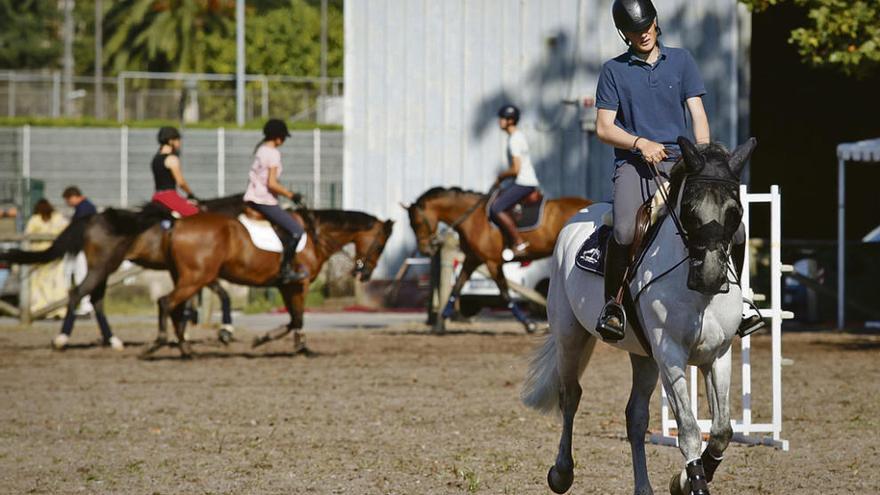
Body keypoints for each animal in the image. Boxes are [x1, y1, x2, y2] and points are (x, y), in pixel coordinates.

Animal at [146, 207, 394, 358]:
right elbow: (298, 318)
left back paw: (185, 349)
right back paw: (159, 344)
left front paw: (268, 339)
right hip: (196, 277)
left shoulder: (285, 285)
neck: (316, 236)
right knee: (166, 302)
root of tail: (177, 225)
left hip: (186, 277)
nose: (365, 274)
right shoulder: (299, 284)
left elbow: (294, 319)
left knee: (176, 308)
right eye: (380, 245)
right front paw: (298, 346)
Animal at [406, 186, 592, 334]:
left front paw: (529, 324)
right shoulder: (472, 260)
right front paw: (439, 324)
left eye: (417, 223)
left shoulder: (492, 262)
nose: (425, 249)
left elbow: (504, 293)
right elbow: (457, 288)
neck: (473, 218)